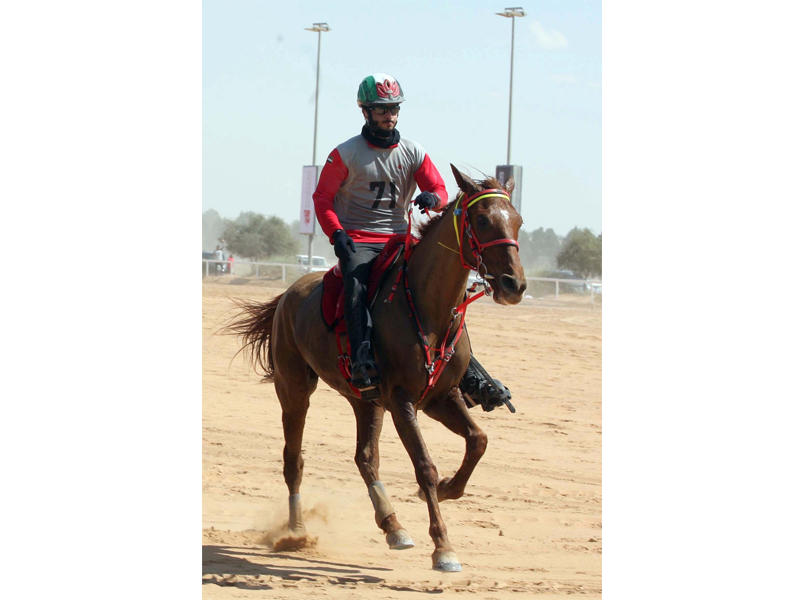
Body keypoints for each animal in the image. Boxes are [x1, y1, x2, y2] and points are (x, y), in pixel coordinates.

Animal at [225, 165, 524, 572]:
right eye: (481, 219)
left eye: (518, 221)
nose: (514, 284)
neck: (426, 307)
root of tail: (287, 295)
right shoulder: (402, 401)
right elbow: (425, 466)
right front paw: (443, 546)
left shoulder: (440, 397)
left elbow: (478, 440)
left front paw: (448, 489)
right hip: (294, 389)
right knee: (293, 460)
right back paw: (297, 531)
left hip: (366, 401)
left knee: (365, 457)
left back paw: (393, 526)